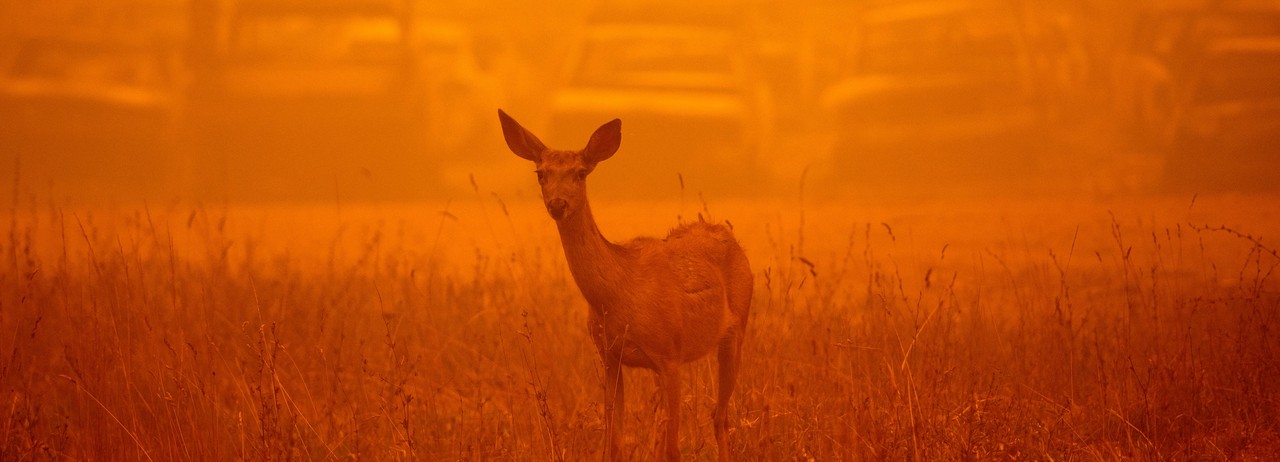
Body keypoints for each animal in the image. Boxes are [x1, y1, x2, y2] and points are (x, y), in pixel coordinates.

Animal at [498, 109, 753, 461]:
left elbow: (673, 449)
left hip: (737, 329)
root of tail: (729, 235)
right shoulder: (610, 356)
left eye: (580, 172)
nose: (557, 204)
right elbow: (614, 442)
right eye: (541, 173)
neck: (618, 294)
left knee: (720, 417)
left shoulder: (669, 354)